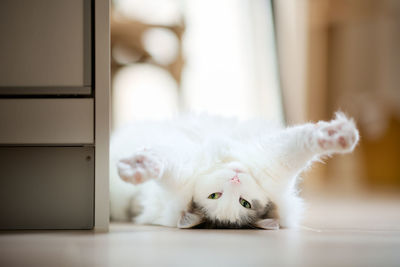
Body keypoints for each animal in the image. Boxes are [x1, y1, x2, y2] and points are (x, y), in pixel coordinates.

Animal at [109, 113, 360, 230]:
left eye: (244, 203)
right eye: (215, 196)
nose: (235, 179)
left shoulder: (273, 163)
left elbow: (302, 142)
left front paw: (337, 135)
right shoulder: (183, 173)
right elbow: (162, 163)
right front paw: (136, 167)